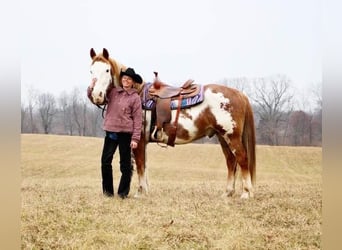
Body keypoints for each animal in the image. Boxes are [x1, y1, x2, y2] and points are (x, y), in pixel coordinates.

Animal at [89, 47, 256, 198]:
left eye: (107, 70)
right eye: (91, 71)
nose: (96, 95)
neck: (138, 94)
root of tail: (239, 94)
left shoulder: (139, 141)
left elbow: (140, 165)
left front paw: (140, 192)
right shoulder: (143, 143)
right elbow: (144, 166)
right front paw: (145, 191)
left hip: (231, 137)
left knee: (242, 159)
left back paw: (246, 193)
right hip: (222, 137)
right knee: (231, 161)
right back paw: (228, 193)